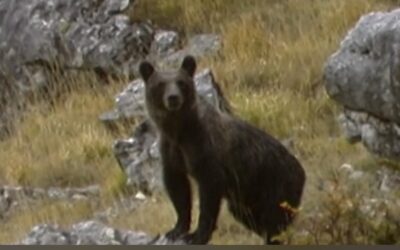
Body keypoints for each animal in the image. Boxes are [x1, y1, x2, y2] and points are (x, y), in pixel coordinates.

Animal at [139, 54, 304, 244]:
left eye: (181, 82)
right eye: (161, 84)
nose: (173, 97)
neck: (179, 131)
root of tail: (301, 171)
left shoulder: (205, 150)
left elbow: (208, 193)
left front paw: (197, 235)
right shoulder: (171, 152)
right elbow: (178, 189)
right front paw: (176, 230)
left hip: (277, 185)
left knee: (274, 220)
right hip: (246, 199)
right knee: (250, 217)